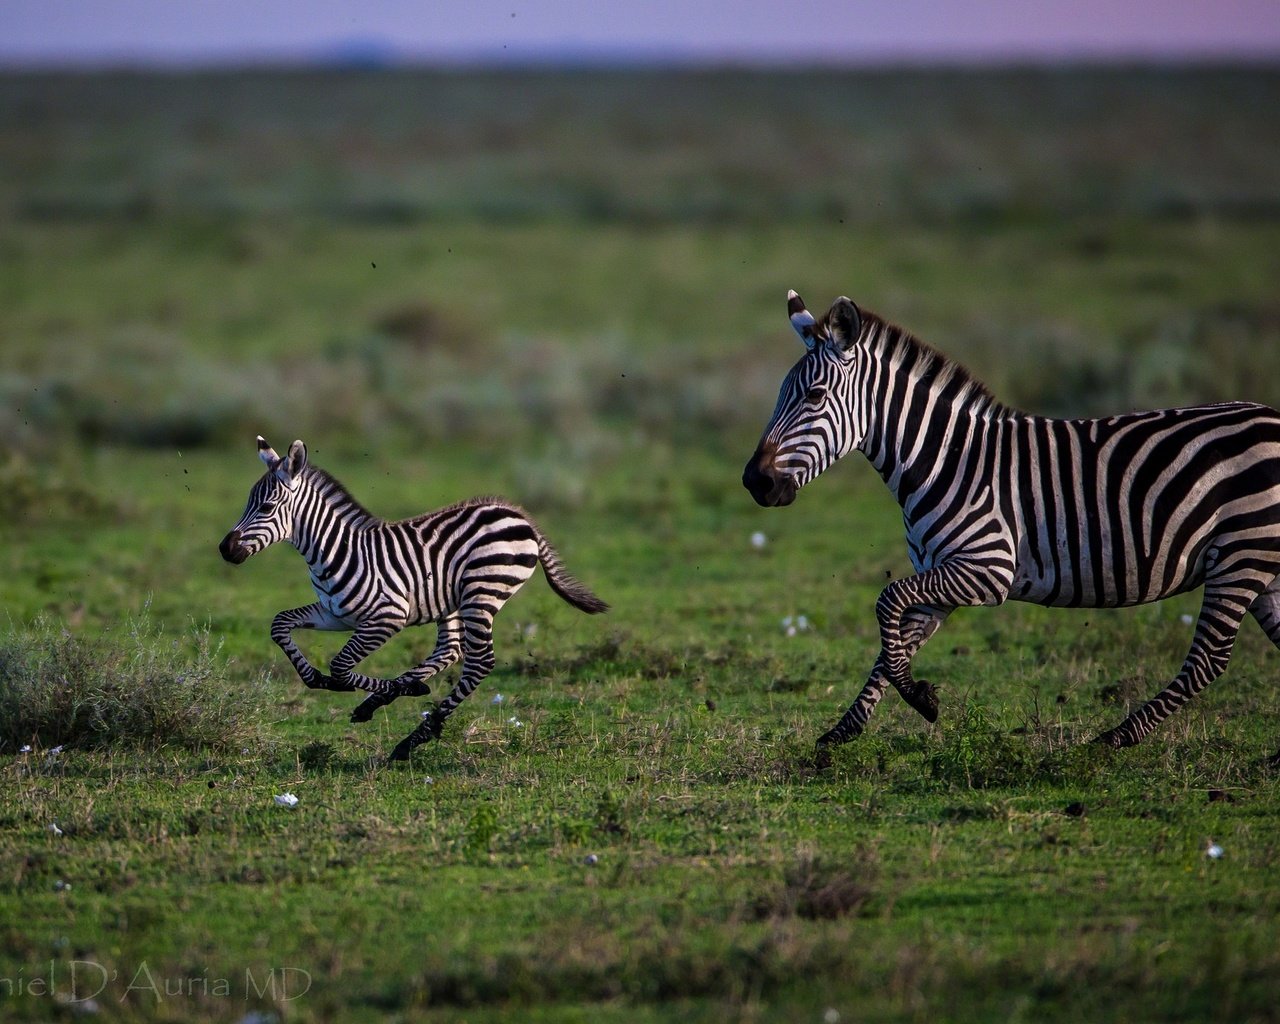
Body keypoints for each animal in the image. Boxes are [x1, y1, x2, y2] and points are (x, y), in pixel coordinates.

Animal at [221, 432, 609, 757]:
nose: (225, 549)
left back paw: (413, 737)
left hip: (482, 593)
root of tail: (519, 514)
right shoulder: (334, 614)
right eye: (247, 503)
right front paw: (320, 680)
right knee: (450, 650)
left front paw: (371, 688)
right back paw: (387, 700)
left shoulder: (386, 617)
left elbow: (341, 667)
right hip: (453, 601)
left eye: (266, 508)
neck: (334, 550)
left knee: (479, 662)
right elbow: (280, 624)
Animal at [747, 288, 1280, 757]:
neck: (945, 458)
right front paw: (849, 728)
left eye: (815, 396)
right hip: (1262, 566)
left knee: (1208, 660)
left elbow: (886, 602)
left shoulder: (988, 568)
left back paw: (1115, 738)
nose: (755, 481)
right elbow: (891, 646)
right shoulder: (942, 578)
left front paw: (919, 700)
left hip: (1241, 554)